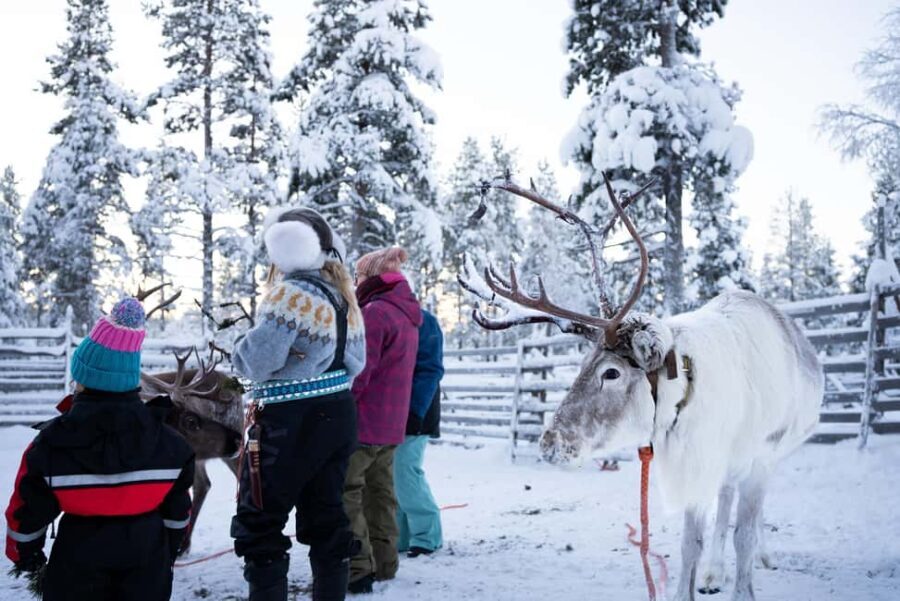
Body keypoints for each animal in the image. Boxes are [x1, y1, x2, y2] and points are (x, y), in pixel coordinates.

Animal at [459, 175, 823, 601]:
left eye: (611, 373)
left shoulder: (759, 456)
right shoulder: (695, 463)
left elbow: (744, 538)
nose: (549, 443)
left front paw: (746, 579)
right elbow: (691, 544)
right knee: (725, 502)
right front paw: (694, 583)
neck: (690, 390)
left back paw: (761, 556)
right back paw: (714, 573)